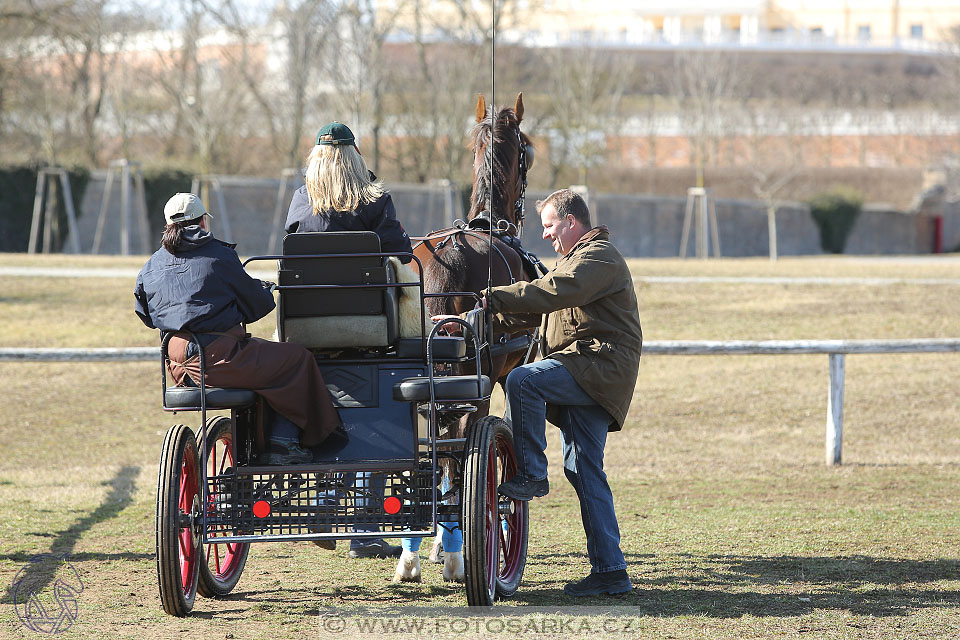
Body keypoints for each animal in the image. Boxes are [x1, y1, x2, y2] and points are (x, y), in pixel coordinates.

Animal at [390, 91, 540, 584]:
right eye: (528, 151)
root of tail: (449, 251)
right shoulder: (497, 378)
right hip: (478, 380)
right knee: (455, 456)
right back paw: (454, 547)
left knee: (429, 456)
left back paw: (414, 550)